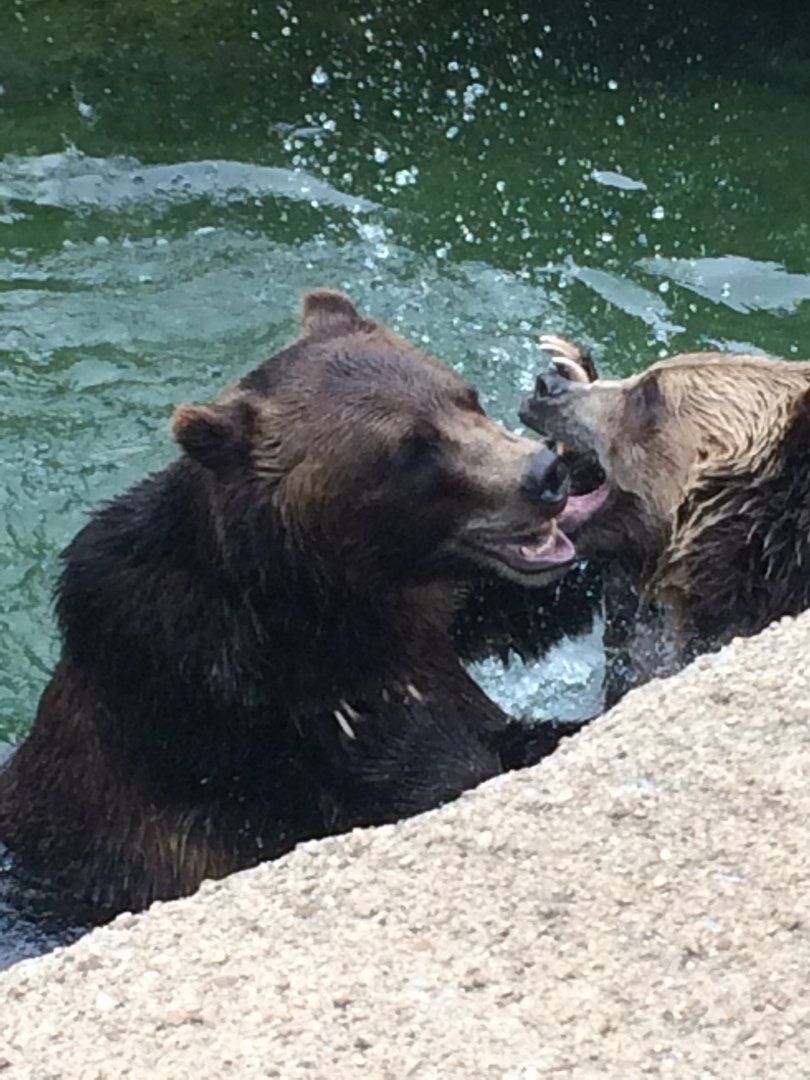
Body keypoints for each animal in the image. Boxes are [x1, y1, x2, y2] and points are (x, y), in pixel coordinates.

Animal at [0, 290, 598, 917]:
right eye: (412, 448)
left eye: (466, 397)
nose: (542, 474)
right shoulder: (241, 723)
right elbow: (450, 766)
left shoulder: (435, 615)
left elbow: (509, 616)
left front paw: (578, 390)